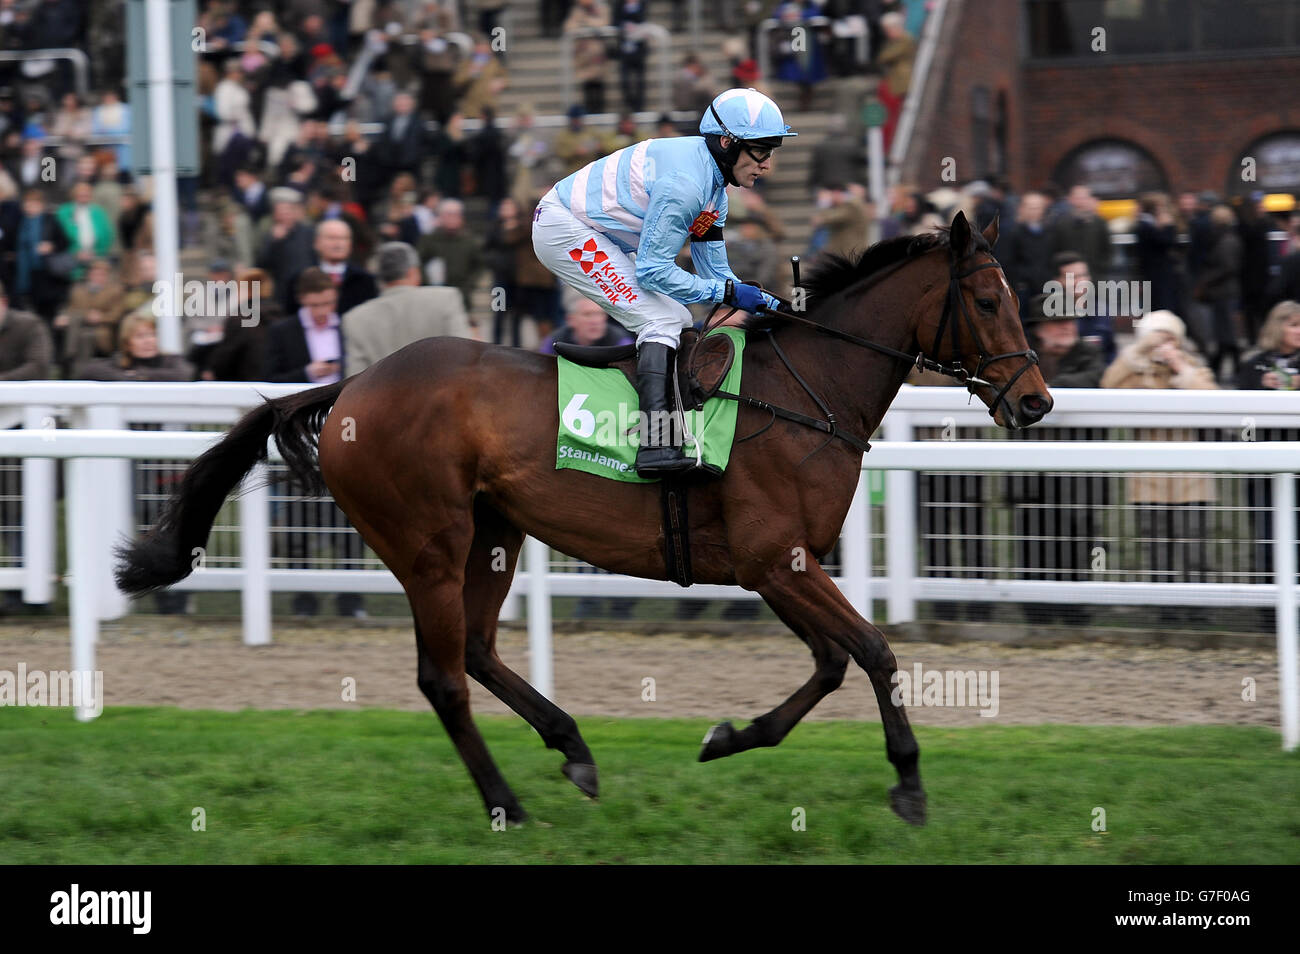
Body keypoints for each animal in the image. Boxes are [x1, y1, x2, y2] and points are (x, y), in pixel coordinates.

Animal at [111, 213, 1050, 826]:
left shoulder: (776, 565)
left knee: (477, 651)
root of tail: (351, 387)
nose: (1037, 401)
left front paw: (729, 737)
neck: (803, 393)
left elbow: (829, 664)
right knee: (443, 677)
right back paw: (506, 803)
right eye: (990, 301)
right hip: (429, 542)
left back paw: (572, 749)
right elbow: (873, 650)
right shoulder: (771, 558)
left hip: (495, 533)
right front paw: (910, 784)